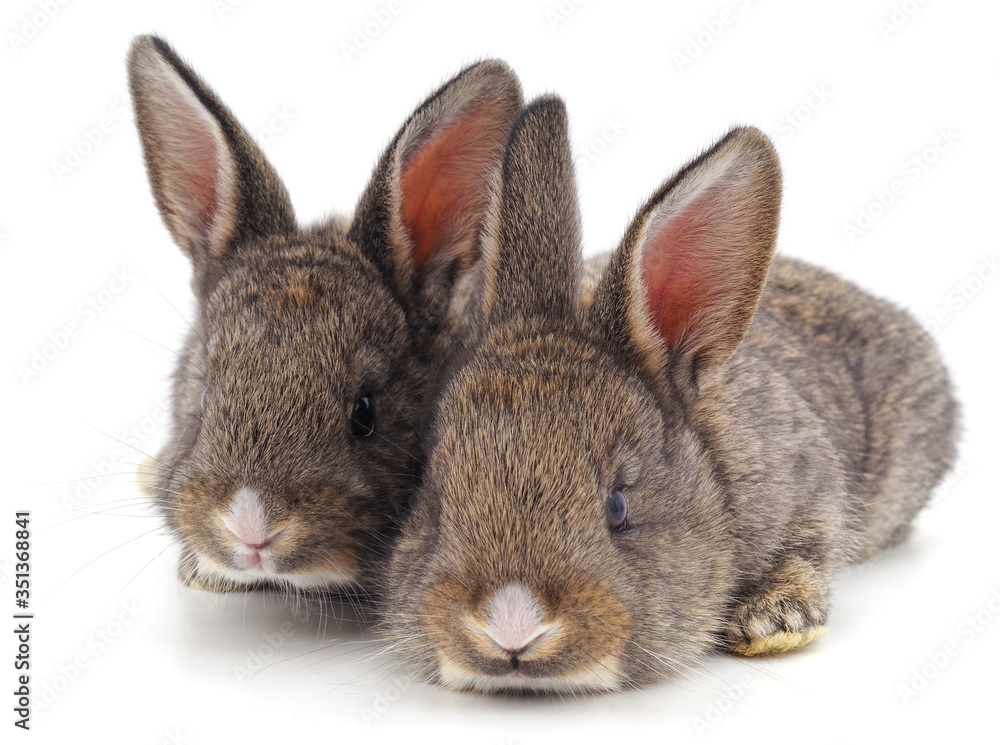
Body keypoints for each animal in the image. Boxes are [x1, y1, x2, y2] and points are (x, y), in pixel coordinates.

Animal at [378, 96, 959, 693]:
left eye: (618, 506)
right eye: (434, 499)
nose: (512, 626)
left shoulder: (811, 484)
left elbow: (811, 544)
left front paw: (774, 621)